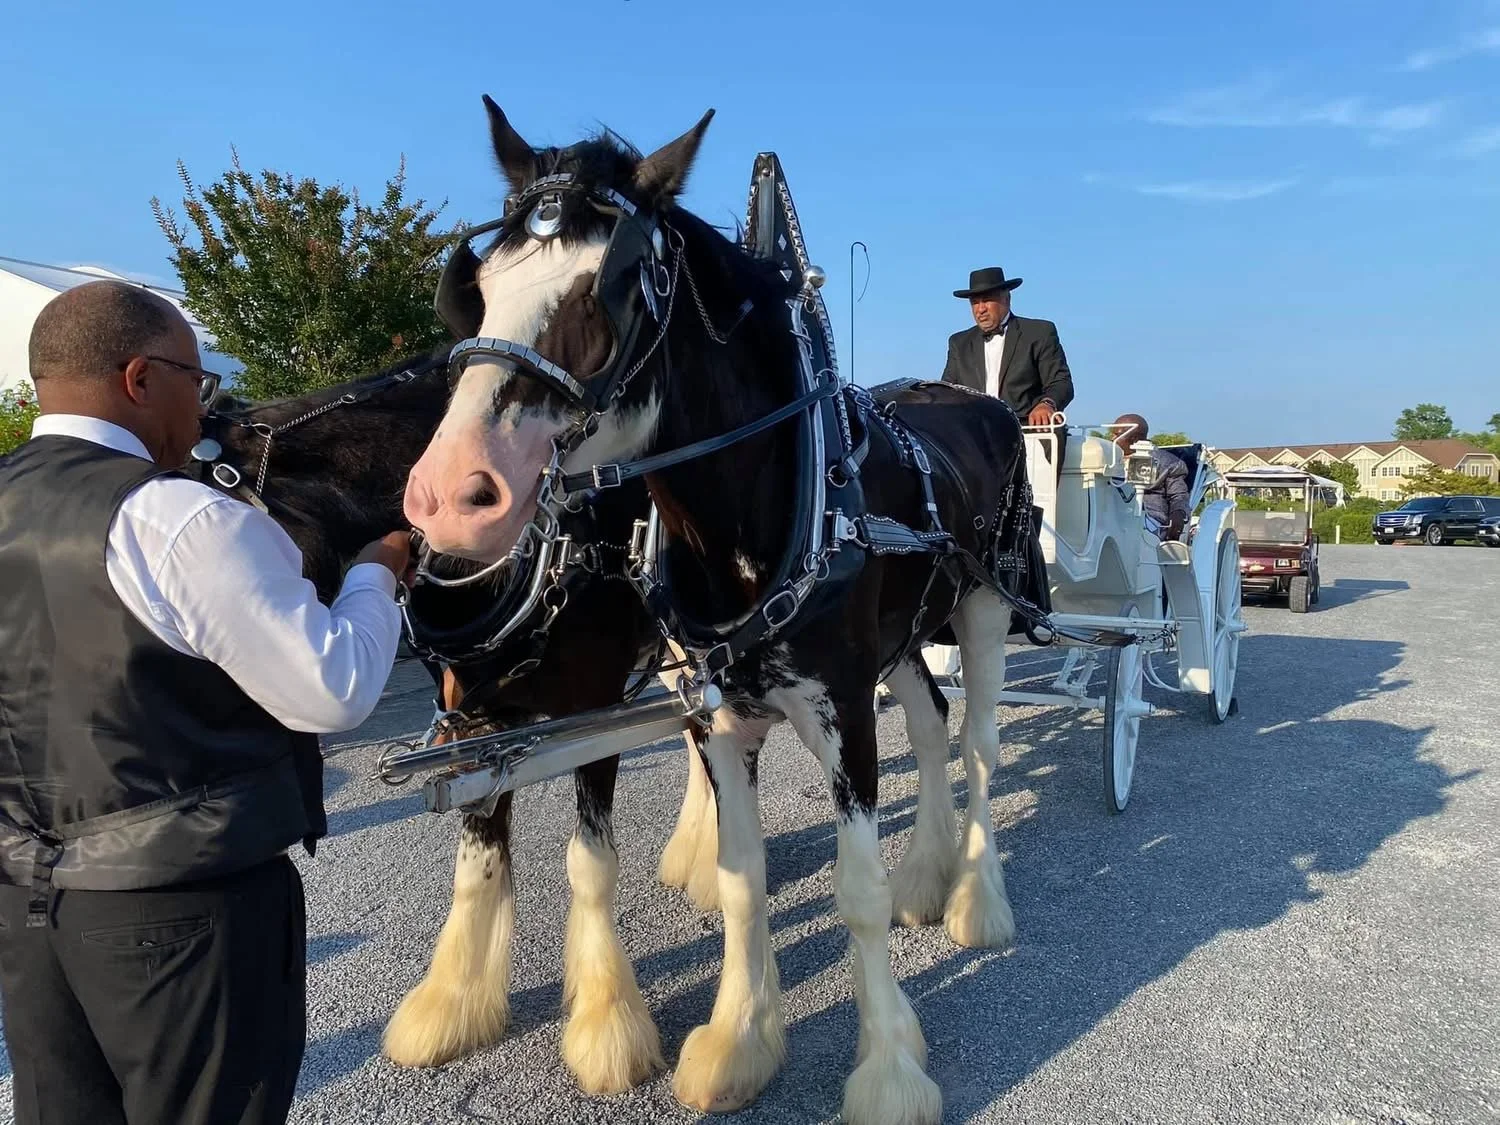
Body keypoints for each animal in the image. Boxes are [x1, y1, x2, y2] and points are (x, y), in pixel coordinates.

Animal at [198, 348, 961, 1099]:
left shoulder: (592, 710)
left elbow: (589, 860)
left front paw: (605, 1021)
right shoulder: (481, 725)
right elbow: (475, 864)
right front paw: (452, 1004)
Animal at [402, 98, 1048, 1124]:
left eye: (609, 290)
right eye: (479, 287)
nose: (447, 497)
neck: (769, 504)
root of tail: (968, 403)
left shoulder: (839, 708)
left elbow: (855, 891)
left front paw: (889, 1070)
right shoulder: (718, 717)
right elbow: (745, 883)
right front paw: (741, 1041)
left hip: (986, 605)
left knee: (980, 742)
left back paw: (975, 900)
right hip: (903, 638)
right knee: (933, 723)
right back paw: (928, 874)